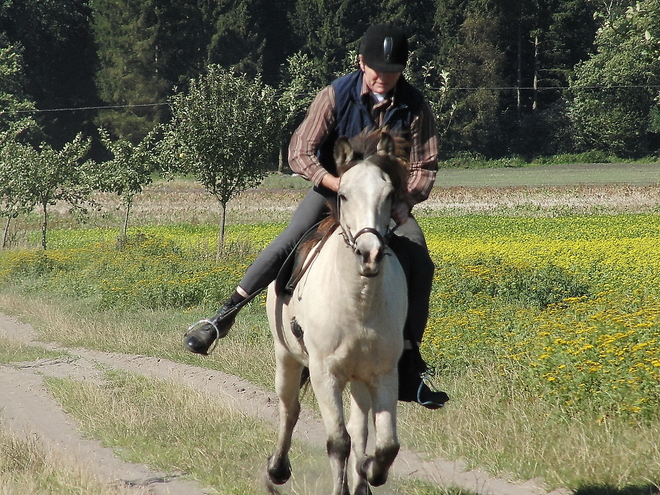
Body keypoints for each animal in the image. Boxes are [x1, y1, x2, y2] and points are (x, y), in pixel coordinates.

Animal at [262, 131, 408, 495]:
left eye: (389, 195)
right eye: (343, 193)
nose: (369, 254)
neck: (358, 303)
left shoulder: (384, 374)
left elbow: (386, 445)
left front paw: (368, 472)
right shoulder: (324, 373)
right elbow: (337, 442)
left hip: (358, 379)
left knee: (360, 429)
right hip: (286, 356)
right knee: (289, 408)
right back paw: (277, 470)